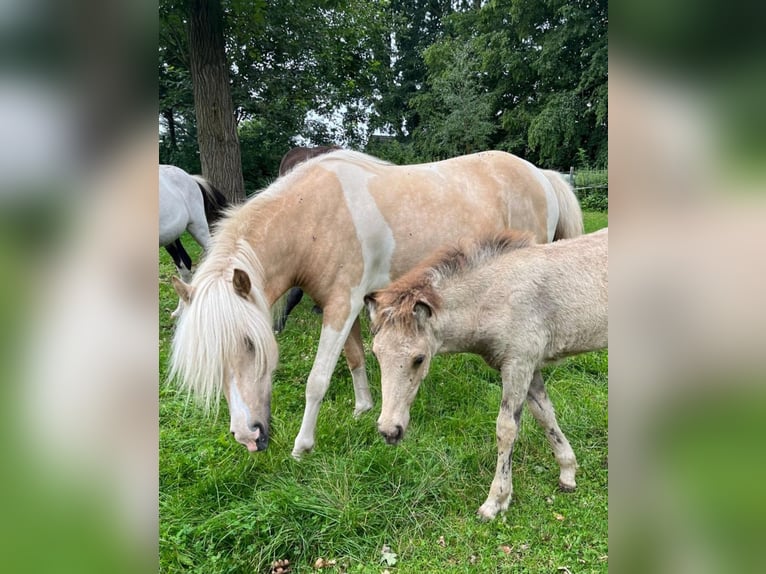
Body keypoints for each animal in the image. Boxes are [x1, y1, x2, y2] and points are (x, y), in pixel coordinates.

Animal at [364, 228, 607, 520]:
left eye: (419, 359)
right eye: (376, 354)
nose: (390, 431)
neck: (495, 297)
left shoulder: (518, 364)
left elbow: (506, 428)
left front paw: (495, 501)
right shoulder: (530, 367)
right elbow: (544, 415)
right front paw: (568, 473)